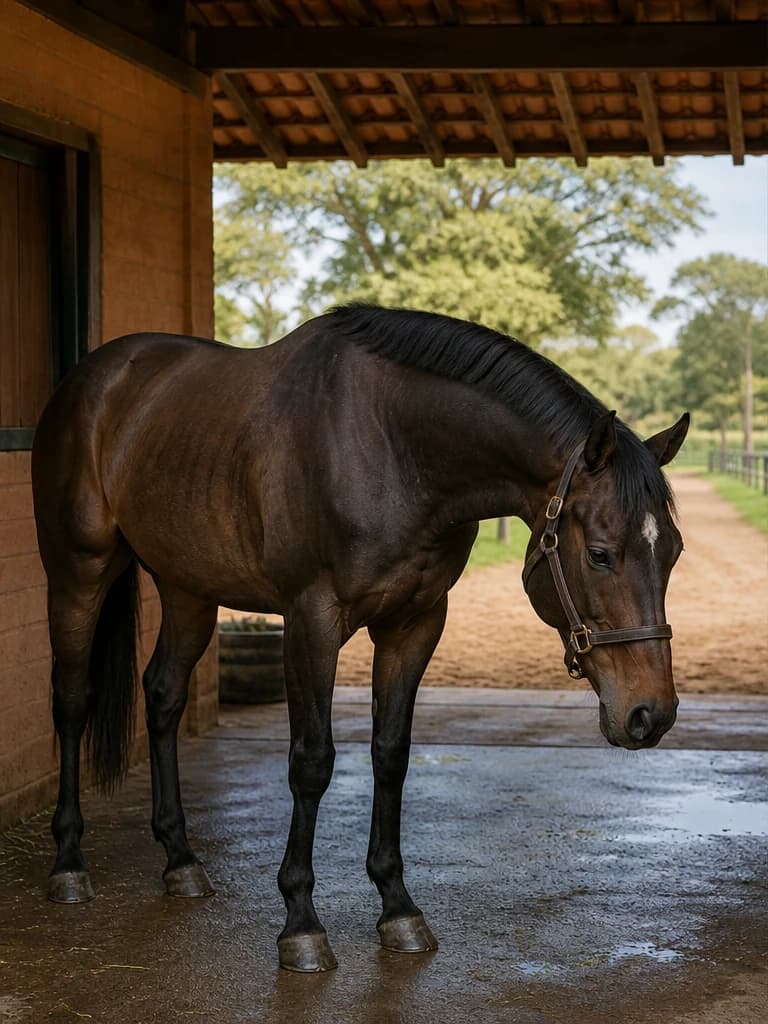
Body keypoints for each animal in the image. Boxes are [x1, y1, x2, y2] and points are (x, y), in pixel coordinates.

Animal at [31, 305, 689, 973]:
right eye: (601, 553)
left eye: (674, 553)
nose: (650, 714)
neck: (394, 450)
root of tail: (92, 378)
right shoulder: (310, 622)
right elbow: (312, 762)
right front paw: (301, 923)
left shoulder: (414, 623)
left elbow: (391, 755)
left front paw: (398, 909)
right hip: (78, 572)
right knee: (72, 700)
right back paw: (69, 864)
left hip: (187, 587)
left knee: (163, 695)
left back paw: (181, 861)